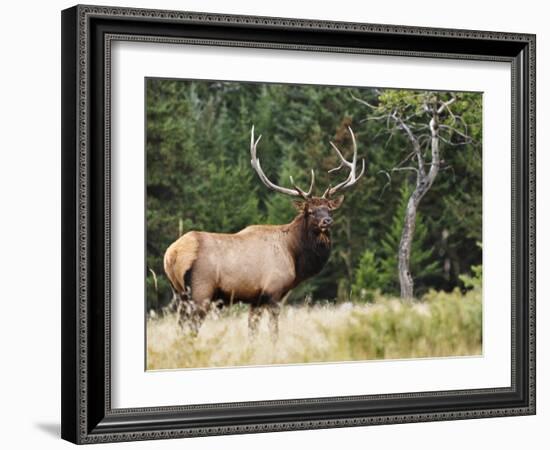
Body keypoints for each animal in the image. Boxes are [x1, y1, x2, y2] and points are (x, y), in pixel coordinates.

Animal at [164, 125, 366, 336]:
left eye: (329, 208)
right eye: (310, 211)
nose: (327, 221)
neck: (294, 254)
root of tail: (172, 254)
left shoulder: (256, 298)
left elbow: (252, 331)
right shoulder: (274, 291)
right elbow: (273, 331)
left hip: (179, 294)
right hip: (200, 291)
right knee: (191, 329)